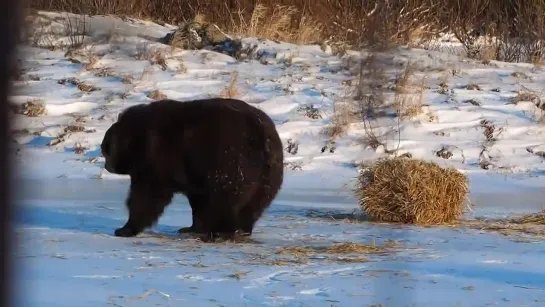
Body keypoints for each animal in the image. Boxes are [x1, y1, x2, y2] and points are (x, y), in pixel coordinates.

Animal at [100, 98, 284, 243]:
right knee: (255, 202)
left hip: (230, 157)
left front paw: (125, 229)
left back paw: (222, 232)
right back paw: (241, 229)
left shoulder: (157, 156)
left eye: (105, 150)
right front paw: (192, 228)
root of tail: (261, 135)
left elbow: (147, 196)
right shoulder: (193, 170)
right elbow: (198, 200)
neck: (136, 140)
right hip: (270, 172)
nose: (107, 166)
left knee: (226, 197)